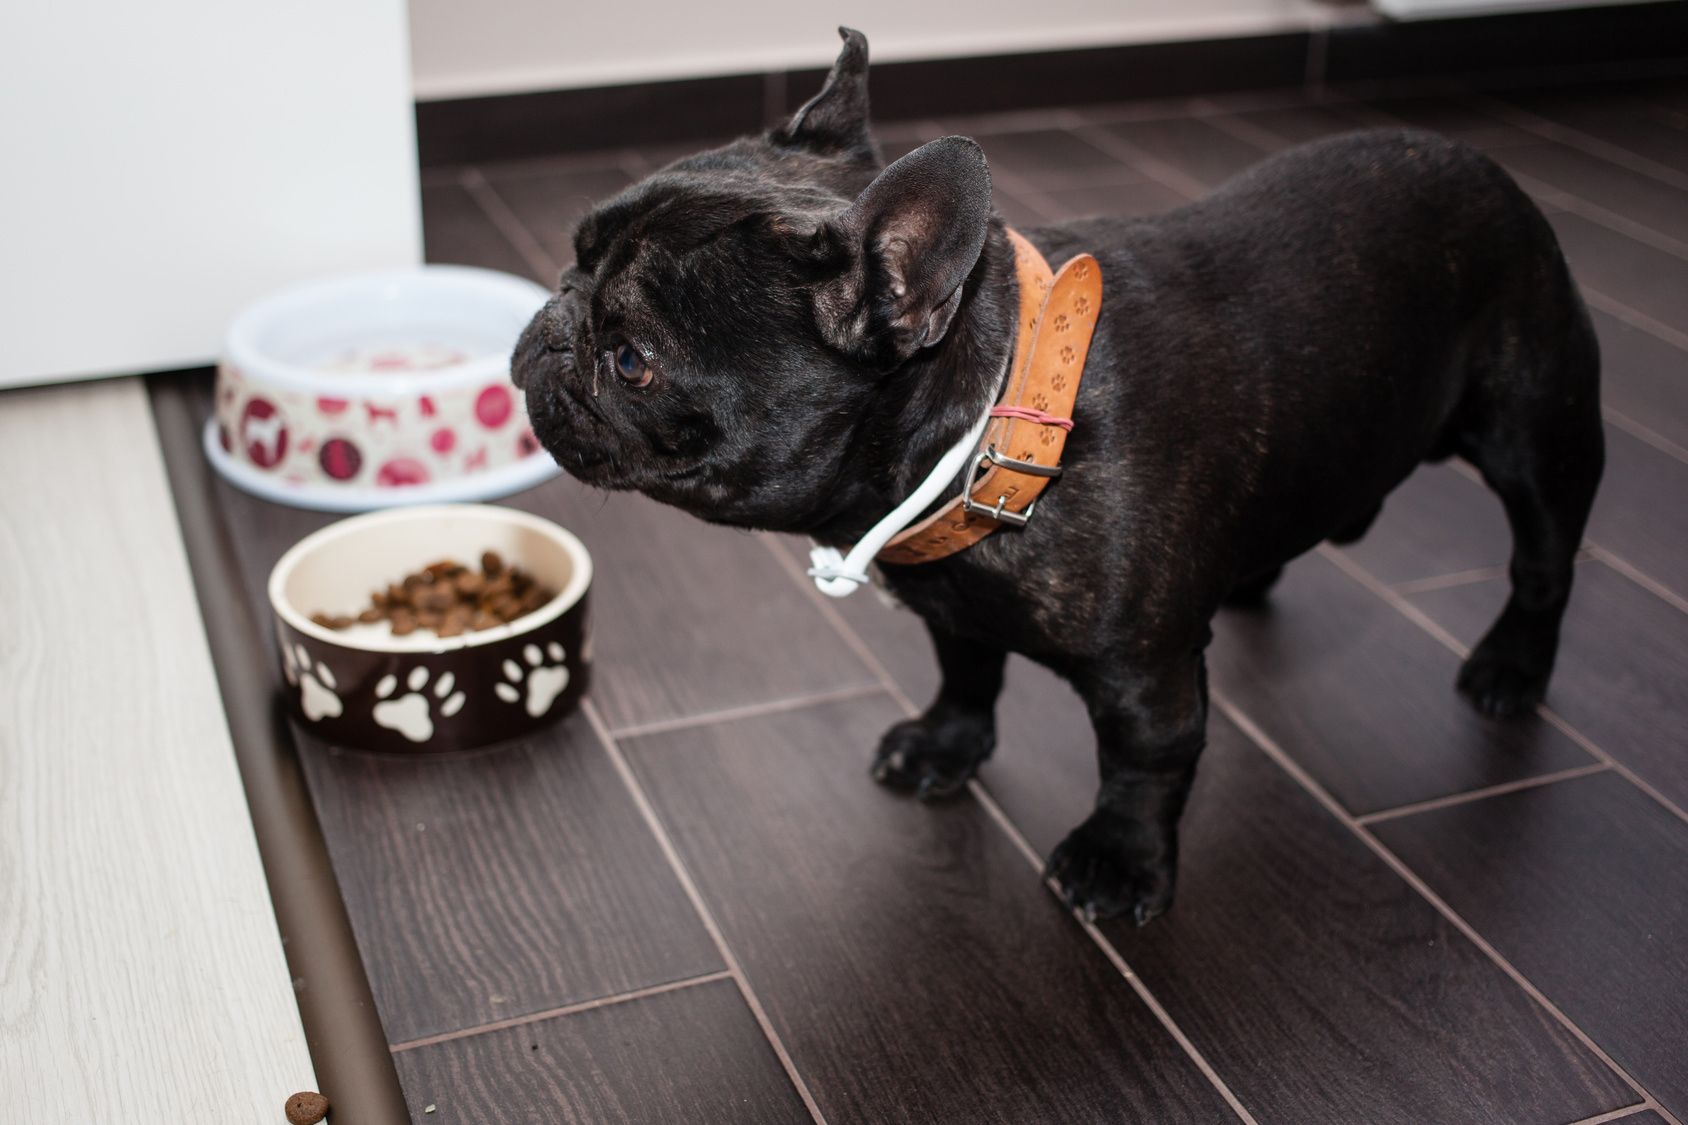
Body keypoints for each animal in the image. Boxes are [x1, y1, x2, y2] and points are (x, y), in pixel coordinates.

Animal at [506, 28, 1600, 918]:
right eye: (575, 258)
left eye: (632, 358)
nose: (553, 317)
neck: (994, 424)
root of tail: (1482, 166)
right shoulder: (952, 603)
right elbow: (966, 672)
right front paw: (943, 746)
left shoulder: (1145, 677)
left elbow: (1141, 765)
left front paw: (1117, 865)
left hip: (1536, 434)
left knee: (1542, 564)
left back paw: (1510, 668)